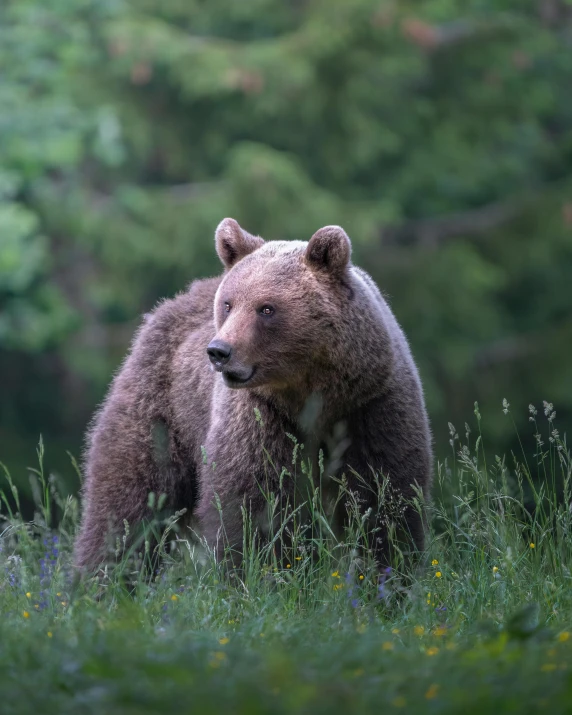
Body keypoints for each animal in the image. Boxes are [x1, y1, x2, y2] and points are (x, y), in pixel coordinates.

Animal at [76, 218, 434, 572]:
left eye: (266, 308)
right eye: (228, 304)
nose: (219, 351)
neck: (313, 394)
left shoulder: (371, 405)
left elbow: (385, 496)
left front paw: (390, 568)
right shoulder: (261, 416)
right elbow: (252, 503)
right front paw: (257, 567)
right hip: (160, 409)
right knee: (129, 499)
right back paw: (102, 574)